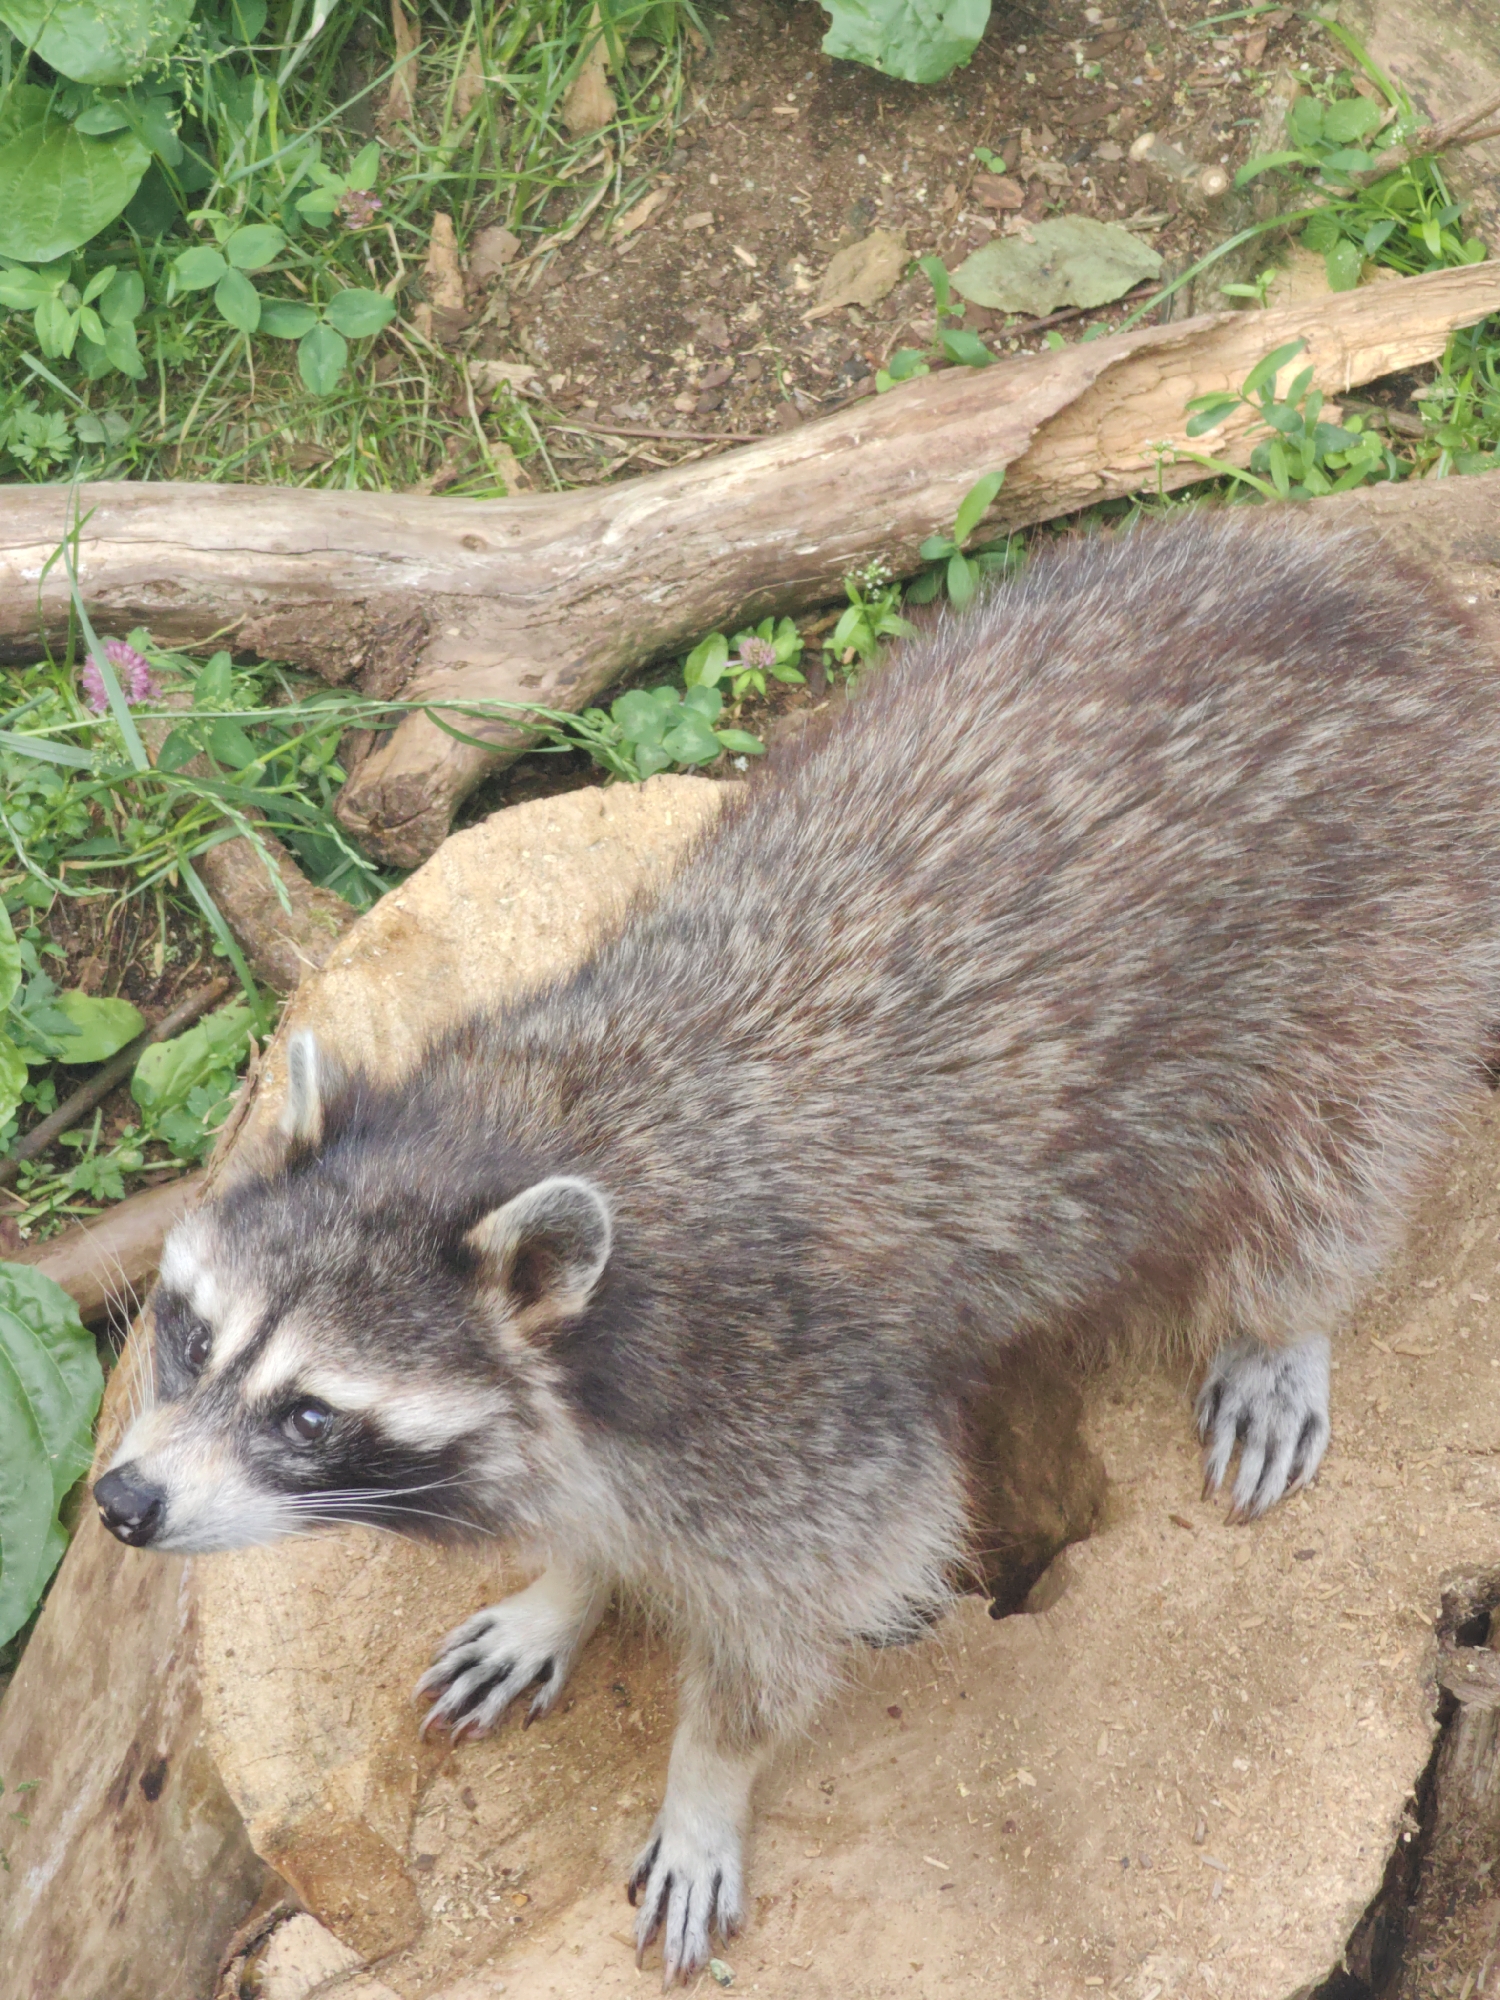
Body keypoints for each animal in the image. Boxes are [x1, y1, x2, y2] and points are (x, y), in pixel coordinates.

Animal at [96, 512, 1500, 1983]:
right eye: (192, 1333)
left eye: (310, 1415)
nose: (124, 1503)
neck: (503, 1139)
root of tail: (1383, 581)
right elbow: (593, 1519)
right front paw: (569, 1582)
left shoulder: (794, 1417)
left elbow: (801, 1615)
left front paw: (706, 1779)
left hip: (1403, 920)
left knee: (1342, 1148)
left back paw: (1287, 1312)